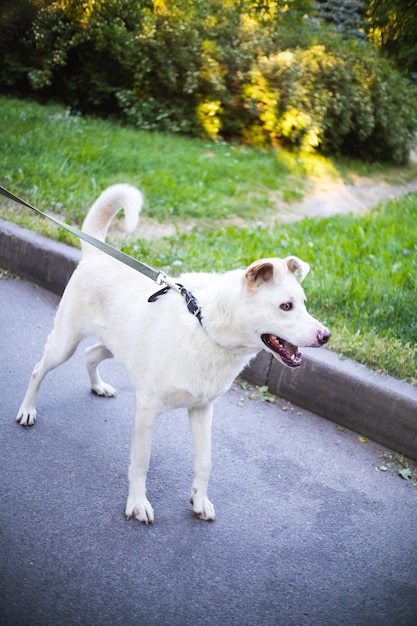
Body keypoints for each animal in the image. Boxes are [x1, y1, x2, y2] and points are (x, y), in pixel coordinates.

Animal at [16, 182, 330, 520]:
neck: (206, 326)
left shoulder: (202, 410)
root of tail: (95, 255)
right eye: (286, 306)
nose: (326, 336)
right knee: (38, 370)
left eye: (304, 303)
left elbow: (205, 462)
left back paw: (98, 386)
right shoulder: (146, 410)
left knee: (91, 354)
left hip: (116, 346)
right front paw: (137, 503)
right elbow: (140, 463)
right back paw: (27, 410)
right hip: (65, 343)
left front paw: (199, 500)